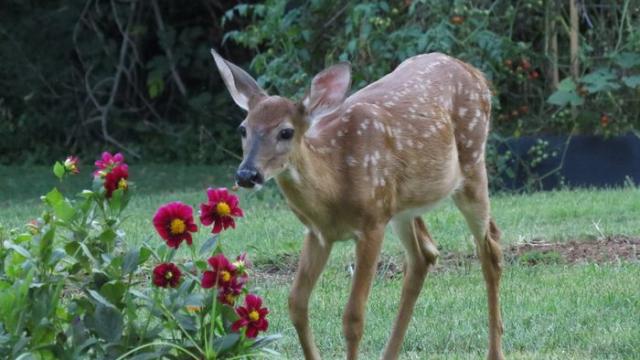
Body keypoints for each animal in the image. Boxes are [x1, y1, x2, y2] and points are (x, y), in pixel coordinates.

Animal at [212, 48, 502, 360]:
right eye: (243, 129)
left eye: (286, 132)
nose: (247, 174)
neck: (335, 187)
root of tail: (475, 73)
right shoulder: (318, 233)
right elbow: (296, 303)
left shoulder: (372, 223)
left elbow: (353, 317)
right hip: (401, 207)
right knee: (423, 256)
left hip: (472, 165)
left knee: (490, 249)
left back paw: (494, 352)